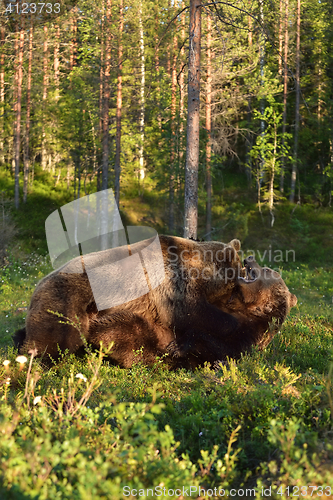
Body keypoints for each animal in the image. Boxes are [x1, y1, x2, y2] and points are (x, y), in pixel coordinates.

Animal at [14, 234, 296, 368]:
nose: (250, 259)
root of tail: (36, 288)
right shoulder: (173, 285)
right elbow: (194, 312)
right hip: (70, 296)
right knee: (59, 335)